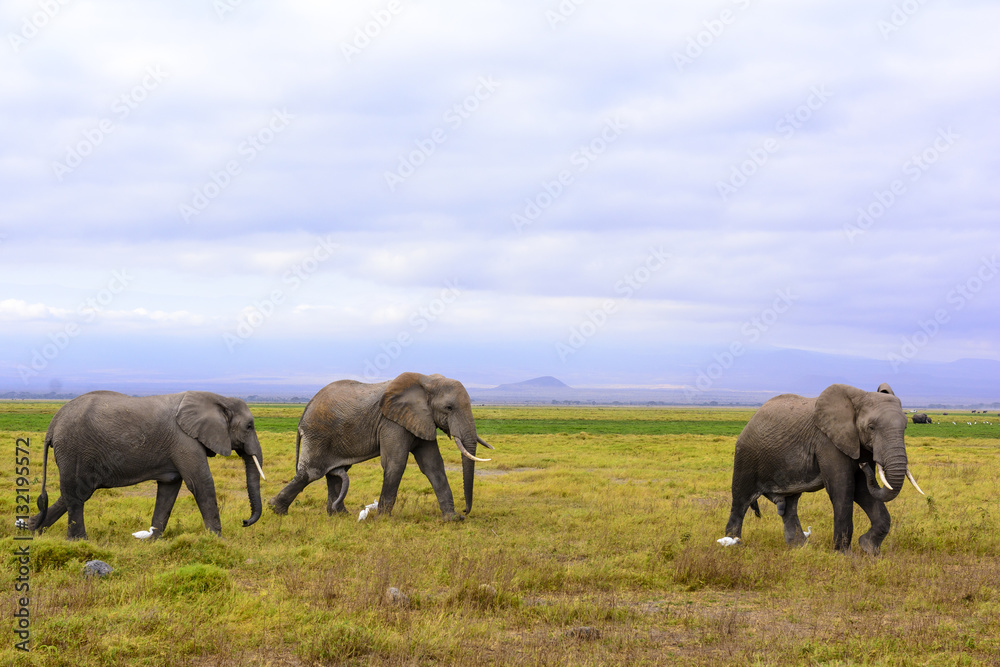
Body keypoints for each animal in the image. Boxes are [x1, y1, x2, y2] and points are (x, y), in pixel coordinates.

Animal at [21, 392, 268, 544]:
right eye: (249, 426)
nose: (244, 522)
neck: (219, 398)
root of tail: (52, 424)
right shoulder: (185, 440)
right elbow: (200, 482)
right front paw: (219, 541)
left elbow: (169, 488)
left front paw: (154, 541)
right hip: (73, 449)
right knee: (76, 494)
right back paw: (79, 542)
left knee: (74, 493)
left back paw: (31, 528)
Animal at [270, 370, 492, 520]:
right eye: (449, 407)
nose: (465, 511)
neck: (427, 380)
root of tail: (305, 411)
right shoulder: (392, 422)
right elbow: (395, 463)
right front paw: (383, 519)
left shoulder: (420, 420)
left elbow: (433, 465)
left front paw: (452, 519)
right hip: (319, 434)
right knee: (311, 473)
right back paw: (276, 510)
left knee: (335, 473)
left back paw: (340, 515)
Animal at [724, 384, 924, 556]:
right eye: (871, 427)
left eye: (905, 427)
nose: (864, 466)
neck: (858, 398)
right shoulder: (827, 441)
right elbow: (843, 489)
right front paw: (844, 556)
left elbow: (863, 490)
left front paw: (870, 549)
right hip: (746, 456)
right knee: (740, 501)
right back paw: (733, 545)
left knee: (790, 505)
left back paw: (799, 548)